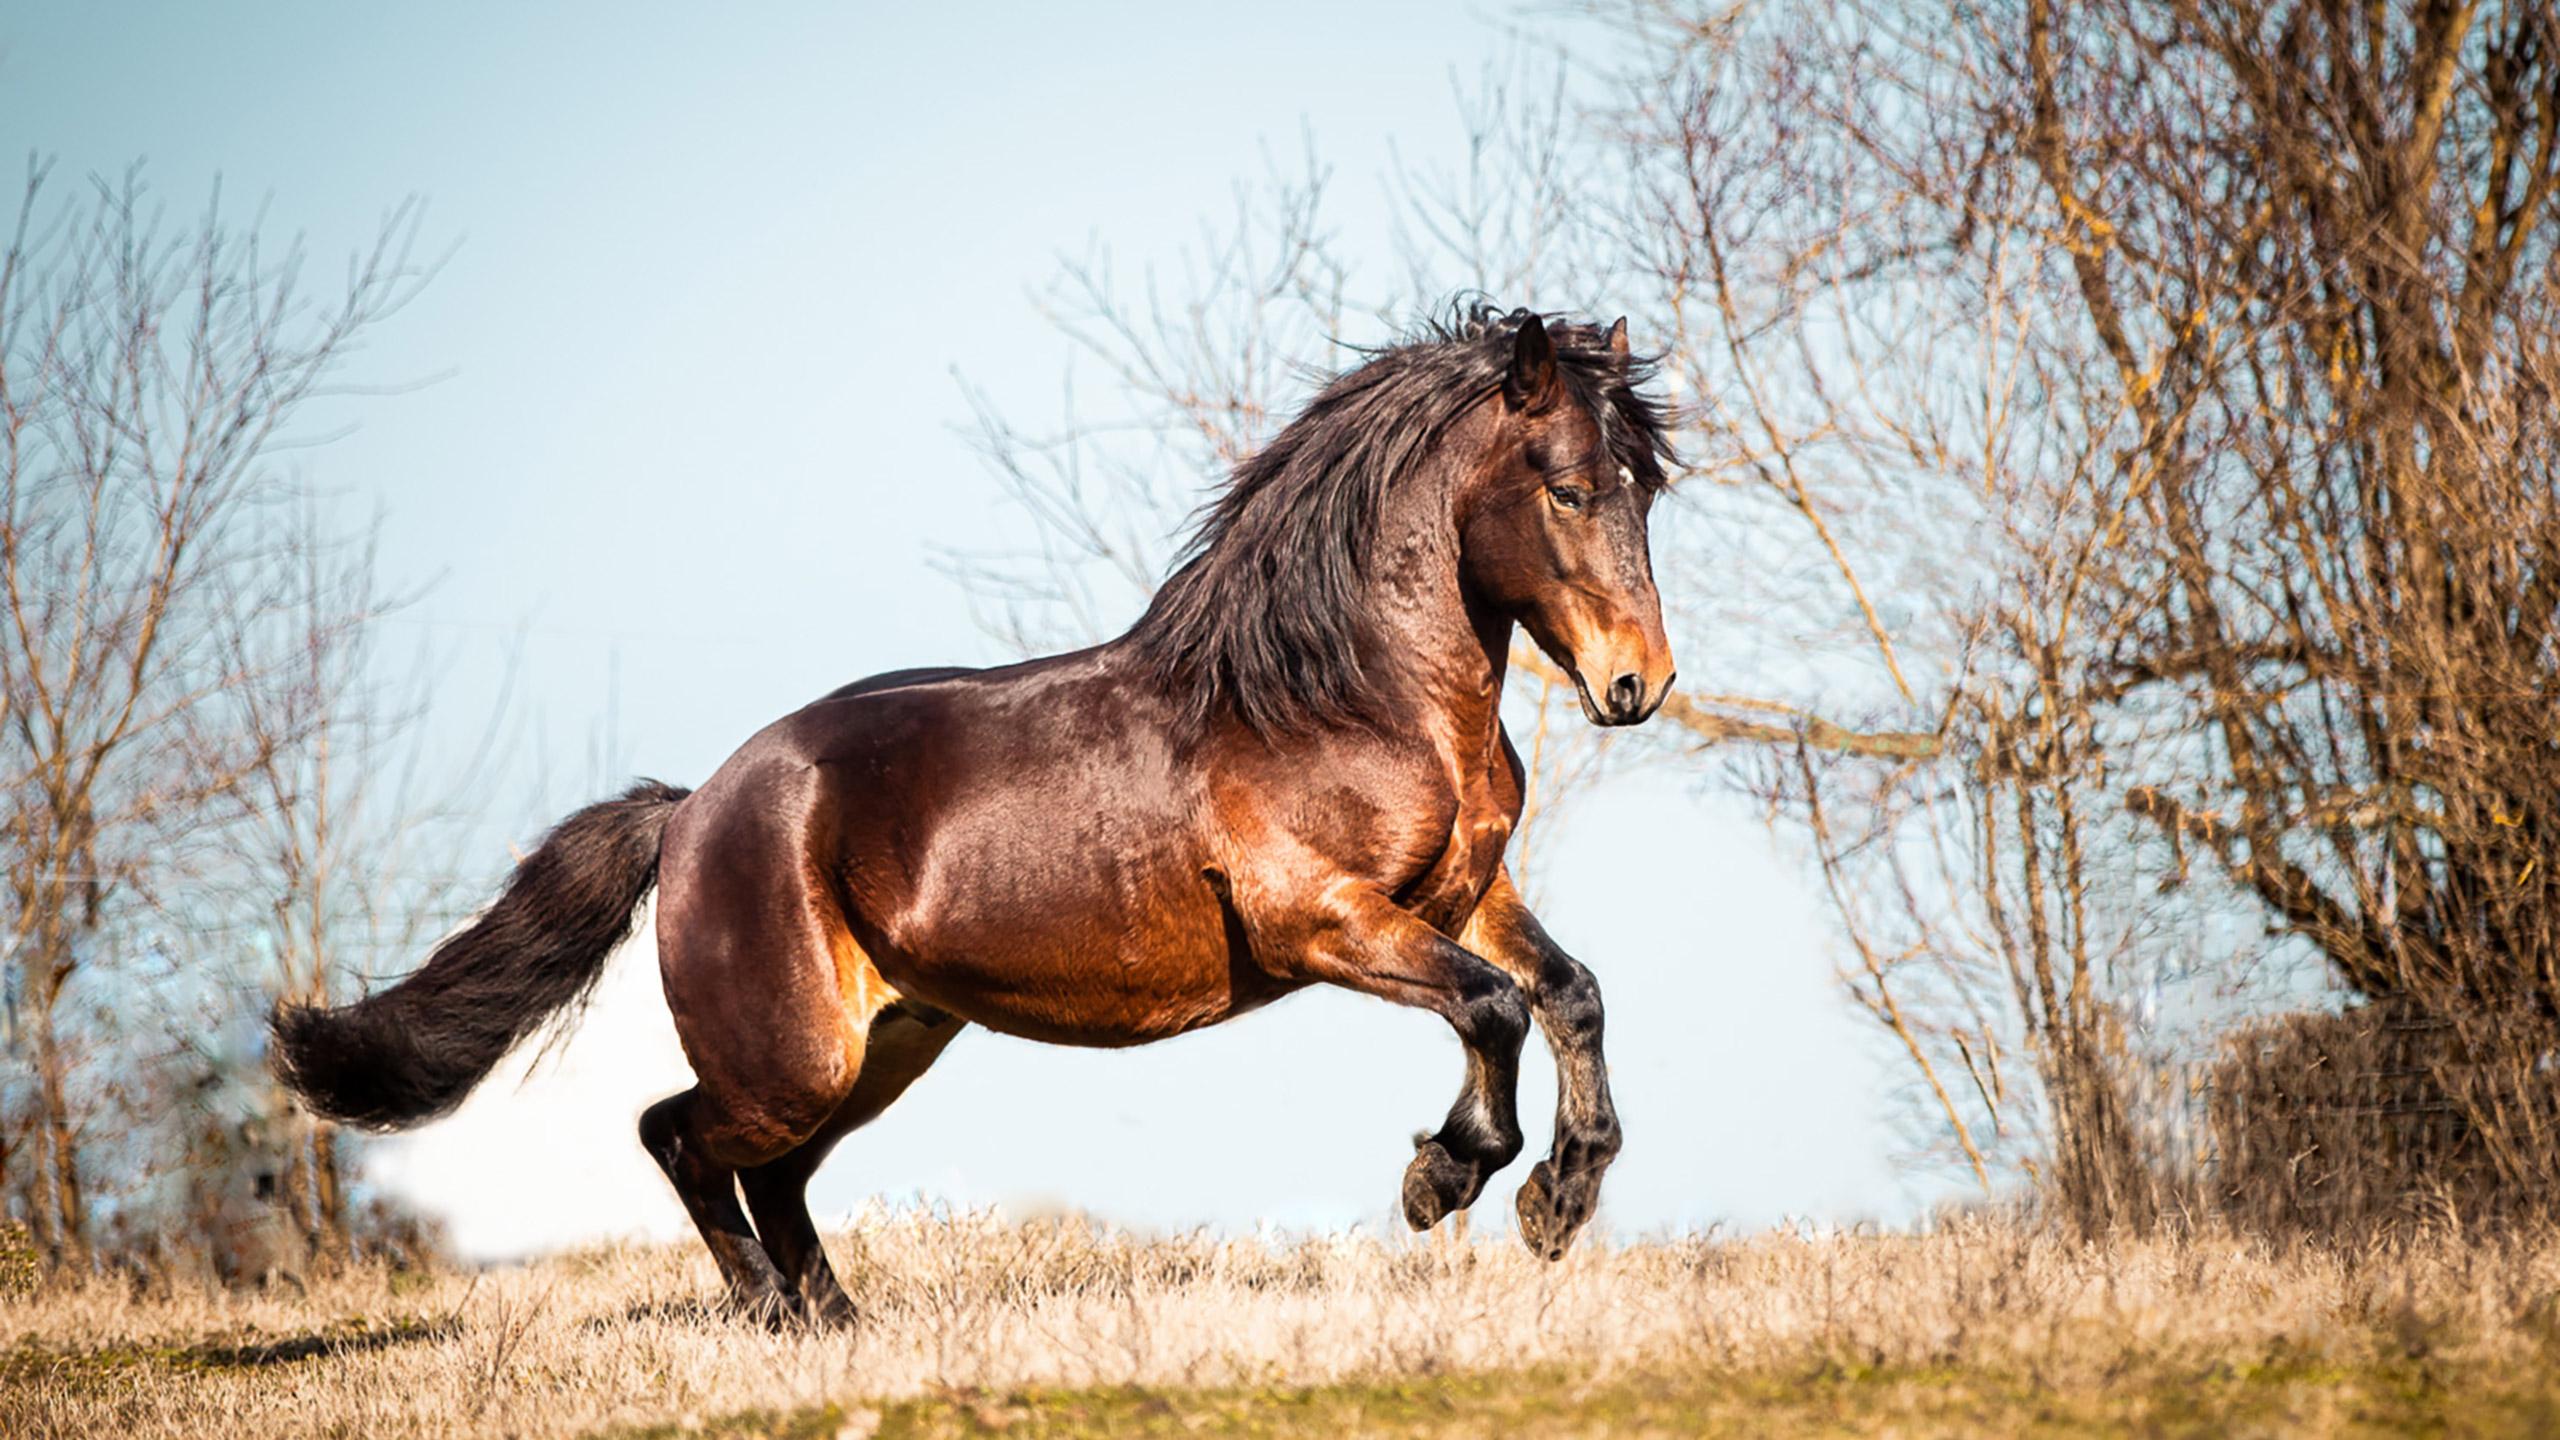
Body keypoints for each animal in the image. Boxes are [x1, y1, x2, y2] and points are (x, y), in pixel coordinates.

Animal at [270, 305, 1678, 1325]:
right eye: (1566, 486)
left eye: (1644, 489)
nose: (1638, 685)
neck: (1336, 698)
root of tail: (688, 814)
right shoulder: (1319, 920)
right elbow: (1492, 1009)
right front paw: (1443, 1179)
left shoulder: (1463, 897)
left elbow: (1571, 993)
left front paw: (1558, 1198)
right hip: (791, 1060)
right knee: (679, 1136)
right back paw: (770, 1315)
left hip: (886, 1044)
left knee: (771, 1174)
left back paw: (839, 1325)